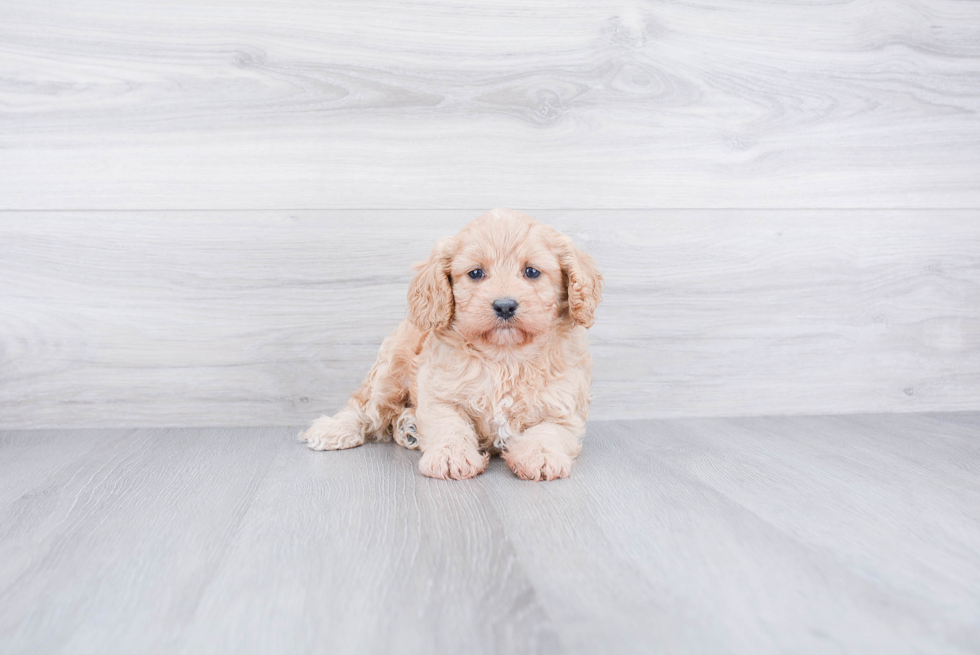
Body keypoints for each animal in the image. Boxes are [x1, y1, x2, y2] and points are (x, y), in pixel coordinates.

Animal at [302, 210, 600, 482]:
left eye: (532, 272)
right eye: (476, 273)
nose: (504, 305)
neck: (504, 356)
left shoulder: (563, 406)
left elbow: (548, 431)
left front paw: (540, 456)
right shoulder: (440, 394)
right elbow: (450, 426)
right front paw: (450, 457)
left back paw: (409, 428)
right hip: (389, 372)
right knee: (365, 409)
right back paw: (334, 429)